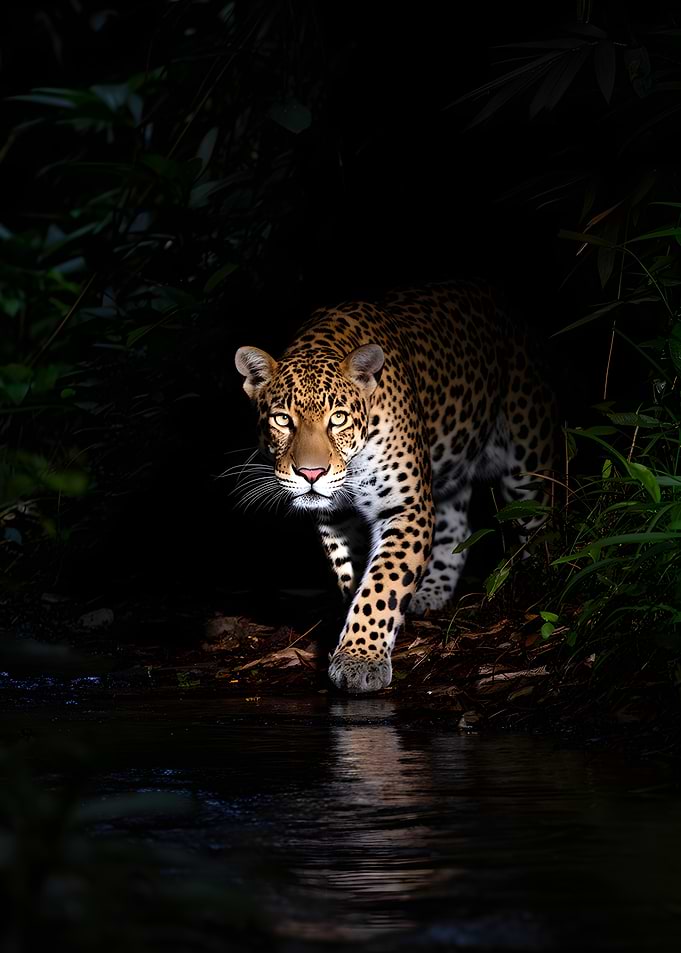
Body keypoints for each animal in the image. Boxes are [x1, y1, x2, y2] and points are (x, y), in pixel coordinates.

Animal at [234, 281, 556, 693]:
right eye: (282, 419)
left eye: (338, 418)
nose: (311, 473)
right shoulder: (336, 518)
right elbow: (354, 577)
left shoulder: (406, 507)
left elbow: (383, 582)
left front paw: (359, 659)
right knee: (458, 528)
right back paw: (431, 592)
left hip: (527, 456)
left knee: (539, 518)